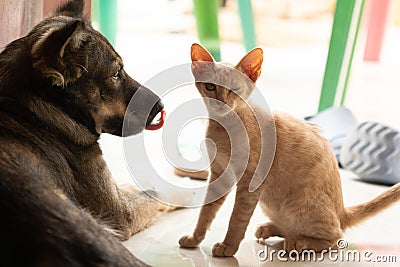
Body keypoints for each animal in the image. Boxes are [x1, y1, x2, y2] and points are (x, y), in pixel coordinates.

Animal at [0, 1, 169, 266]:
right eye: (115, 74)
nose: (162, 105)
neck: (36, 108)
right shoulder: (121, 215)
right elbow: (156, 193)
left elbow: (134, 188)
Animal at [179, 43, 400, 258]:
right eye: (210, 86)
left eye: (234, 89)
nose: (221, 103)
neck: (225, 128)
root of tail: (341, 211)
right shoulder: (220, 175)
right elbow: (206, 213)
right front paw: (195, 239)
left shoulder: (250, 182)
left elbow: (237, 219)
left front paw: (228, 247)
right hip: (269, 204)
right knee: (293, 228)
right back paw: (270, 229)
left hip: (299, 206)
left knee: (335, 238)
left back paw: (298, 243)